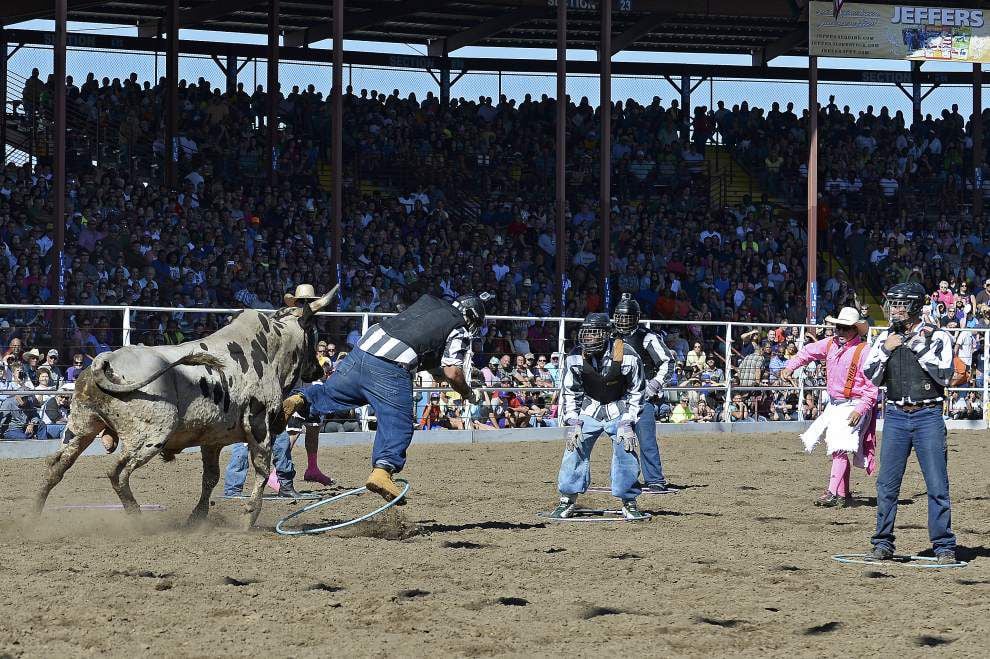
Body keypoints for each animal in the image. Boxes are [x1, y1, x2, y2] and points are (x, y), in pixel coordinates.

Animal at [35, 290, 338, 532]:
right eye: (314, 333)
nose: (318, 370)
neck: (267, 350)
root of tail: (104, 361)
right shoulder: (260, 428)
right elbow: (262, 471)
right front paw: (248, 517)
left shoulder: (212, 440)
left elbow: (210, 478)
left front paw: (197, 518)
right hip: (150, 436)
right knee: (117, 473)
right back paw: (138, 519)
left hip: (80, 429)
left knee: (55, 468)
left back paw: (33, 514)